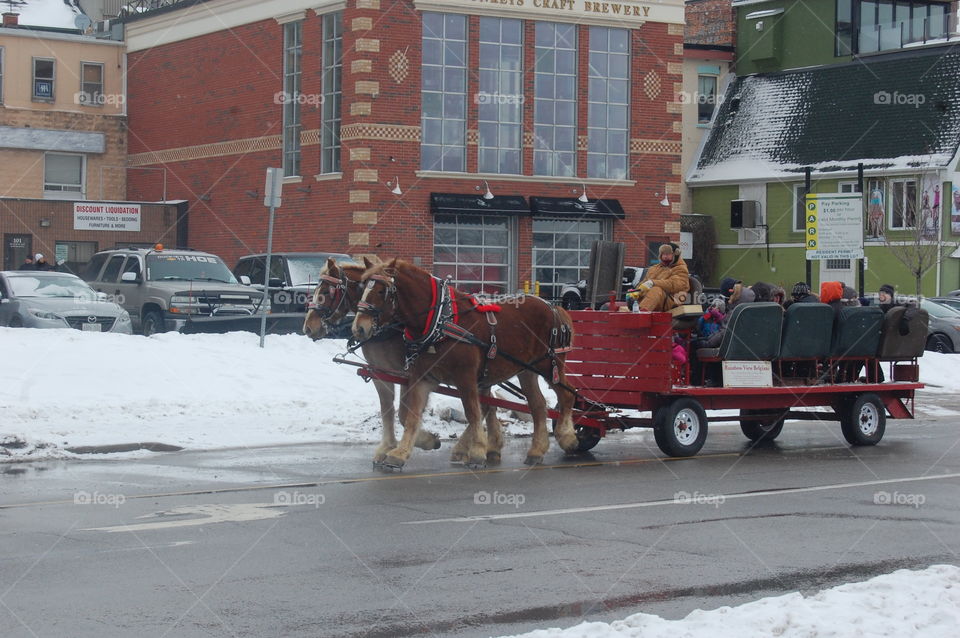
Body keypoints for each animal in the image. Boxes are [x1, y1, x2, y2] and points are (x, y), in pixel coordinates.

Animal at [304, 258, 502, 468]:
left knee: (484, 405)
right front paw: (387, 448)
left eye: (326, 292)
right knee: (487, 403)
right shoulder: (380, 372)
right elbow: (388, 410)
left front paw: (425, 441)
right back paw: (489, 446)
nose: (308, 327)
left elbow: (404, 414)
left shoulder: (408, 374)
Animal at [352, 256, 576, 470]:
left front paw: (476, 452)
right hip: (526, 371)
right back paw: (536, 451)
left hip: (551, 366)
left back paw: (567, 437)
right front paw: (400, 453)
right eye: (362, 288)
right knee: (538, 405)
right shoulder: (422, 377)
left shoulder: (465, 377)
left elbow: (472, 412)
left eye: (381, 291)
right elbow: (411, 415)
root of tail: (554, 307)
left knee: (567, 395)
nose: (358, 328)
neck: (440, 322)